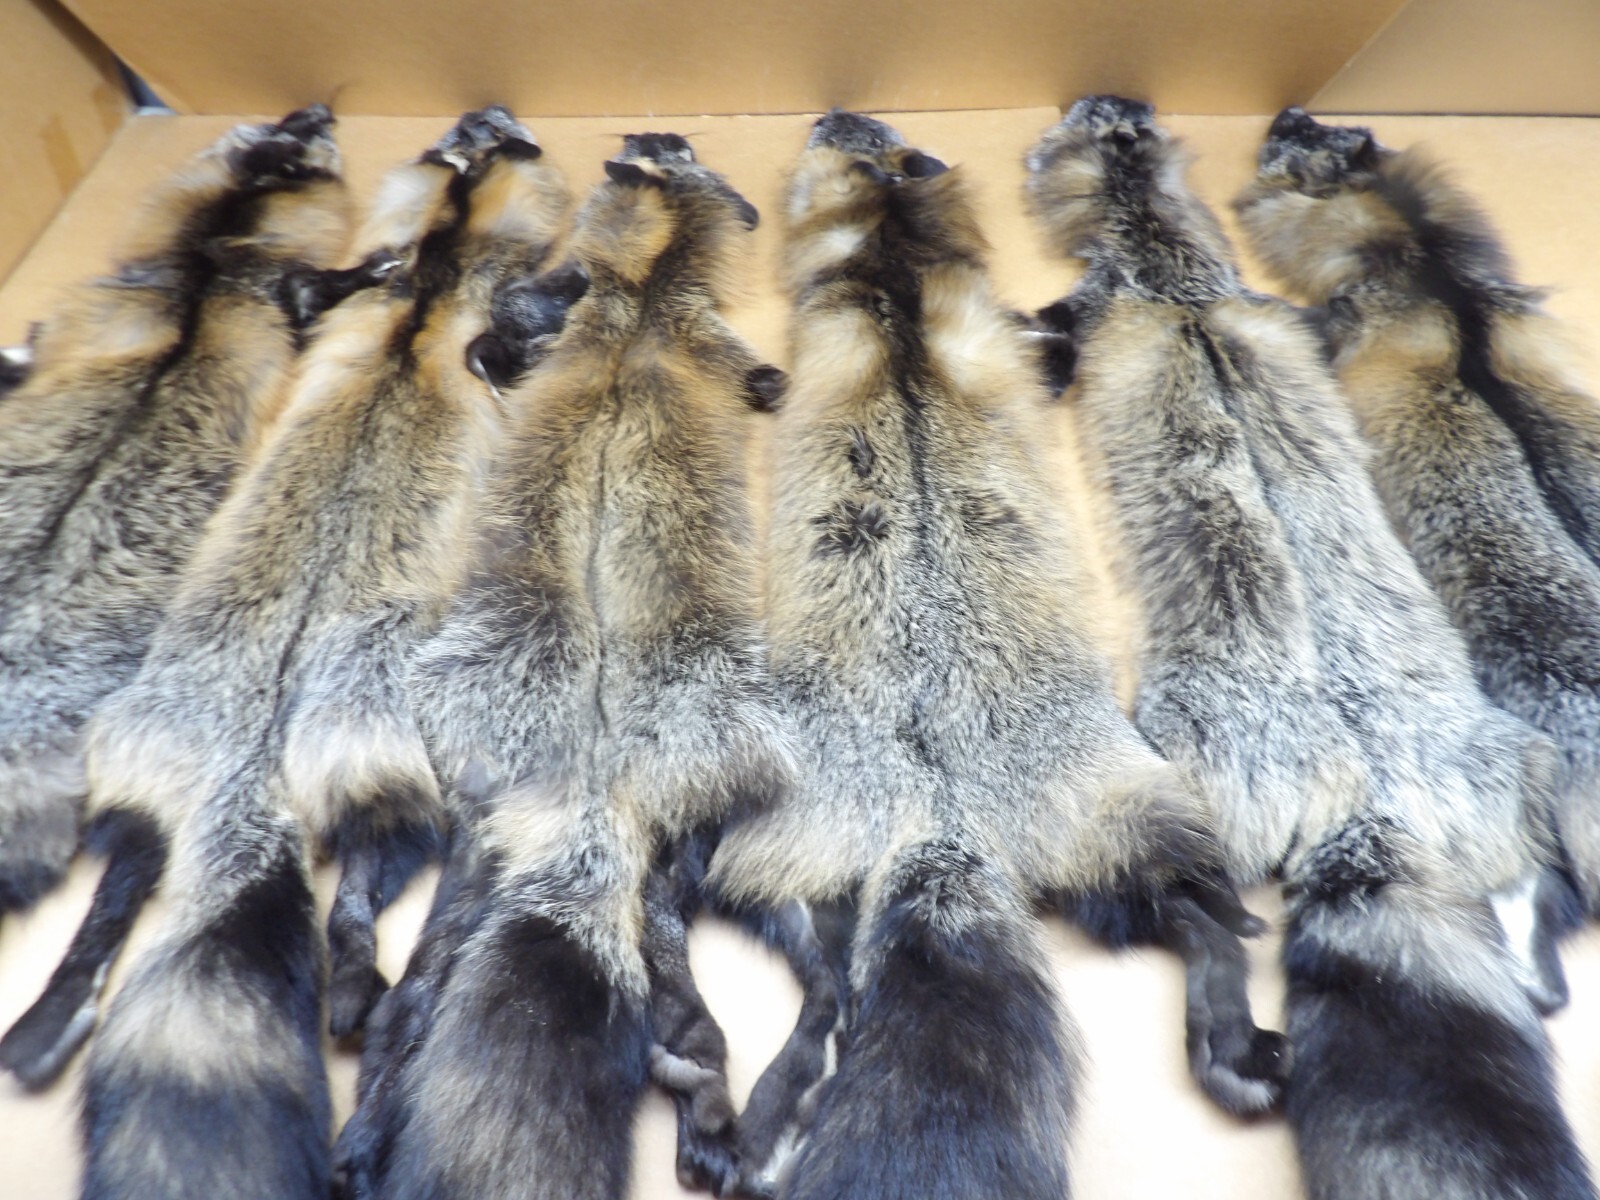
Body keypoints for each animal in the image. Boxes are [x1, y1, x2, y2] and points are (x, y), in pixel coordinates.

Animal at [333, 131, 795, 1200]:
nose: (650, 140)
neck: (639, 307)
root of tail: (584, 794)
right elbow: (755, 373)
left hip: (476, 856)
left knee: (411, 1008)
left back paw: (365, 1140)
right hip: (667, 859)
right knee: (683, 1021)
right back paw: (711, 1123)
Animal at [699, 110, 1284, 1200]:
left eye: (870, 136)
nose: (837, 112)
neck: (889, 280)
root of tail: (942, 821)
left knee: (833, 1000)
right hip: (1109, 832)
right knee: (1210, 921)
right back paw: (1235, 1050)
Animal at [1029, 96, 1590, 1200]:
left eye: (1084, 116)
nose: (1286, 109)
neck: (1176, 281)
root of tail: (1363, 778)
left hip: (1173, 796)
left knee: (1200, 933)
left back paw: (1235, 1054)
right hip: (1514, 796)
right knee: (1529, 910)